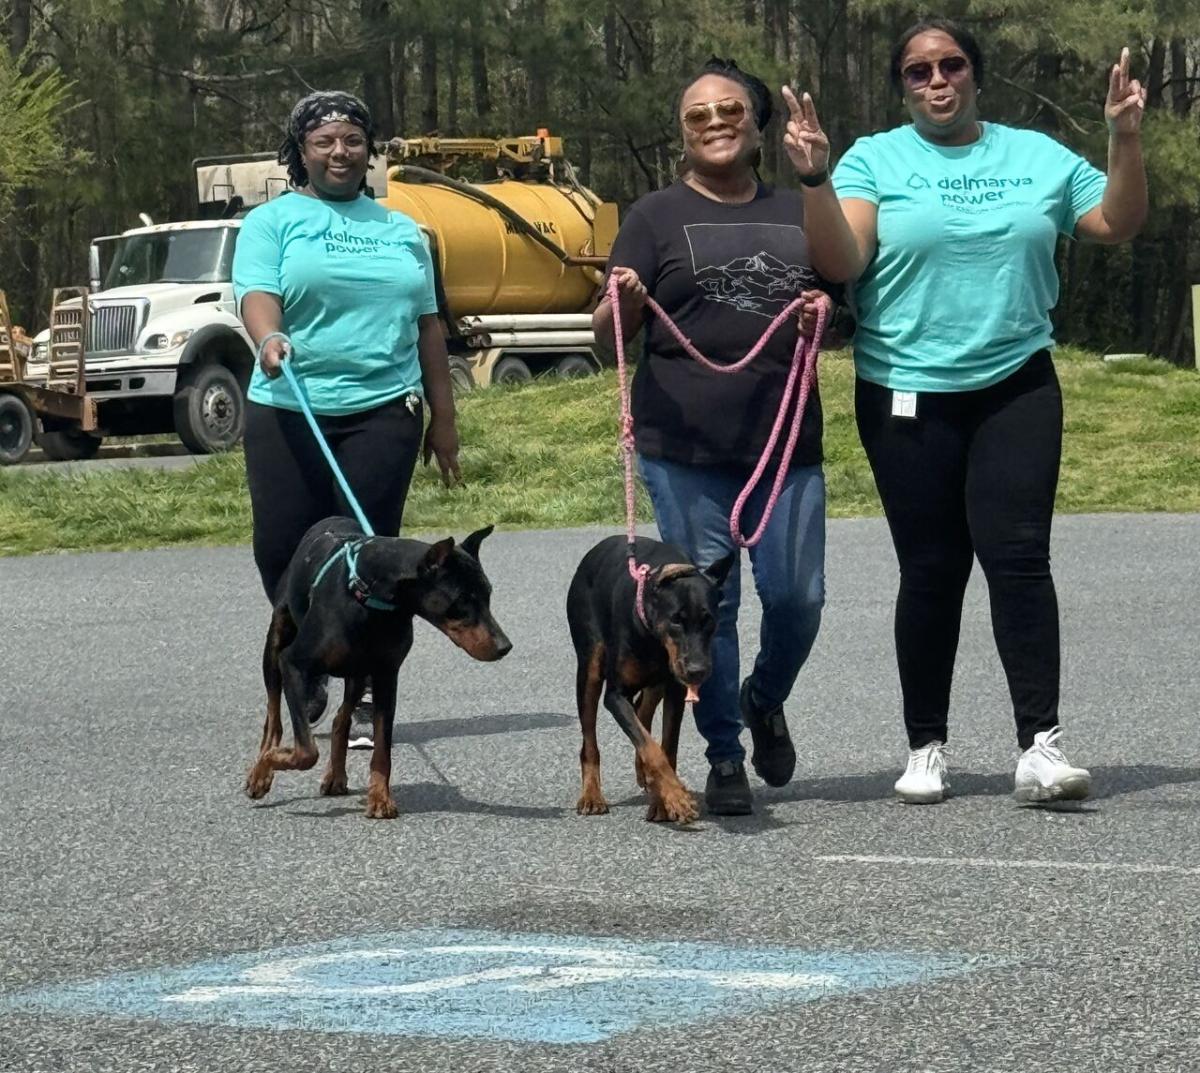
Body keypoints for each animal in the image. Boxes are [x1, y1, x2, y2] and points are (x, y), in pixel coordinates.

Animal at [243, 516, 511, 820]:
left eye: (488, 594)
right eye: (462, 600)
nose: (505, 646)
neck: (372, 598)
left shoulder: (386, 675)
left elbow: (382, 747)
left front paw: (380, 798)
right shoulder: (294, 664)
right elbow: (306, 751)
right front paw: (268, 762)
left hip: (358, 671)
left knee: (341, 718)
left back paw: (335, 776)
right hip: (277, 644)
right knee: (273, 718)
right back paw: (260, 772)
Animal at [568, 535, 734, 825]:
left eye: (709, 620)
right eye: (676, 620)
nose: (697, 671)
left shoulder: (675, 691)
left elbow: (665, 747)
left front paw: (663, 802)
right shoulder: (616, 695)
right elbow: (652, 749)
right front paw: (676, 798)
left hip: (657, 682)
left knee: (642, 710)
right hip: (590, 665)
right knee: (590, 738)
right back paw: (591, 796)